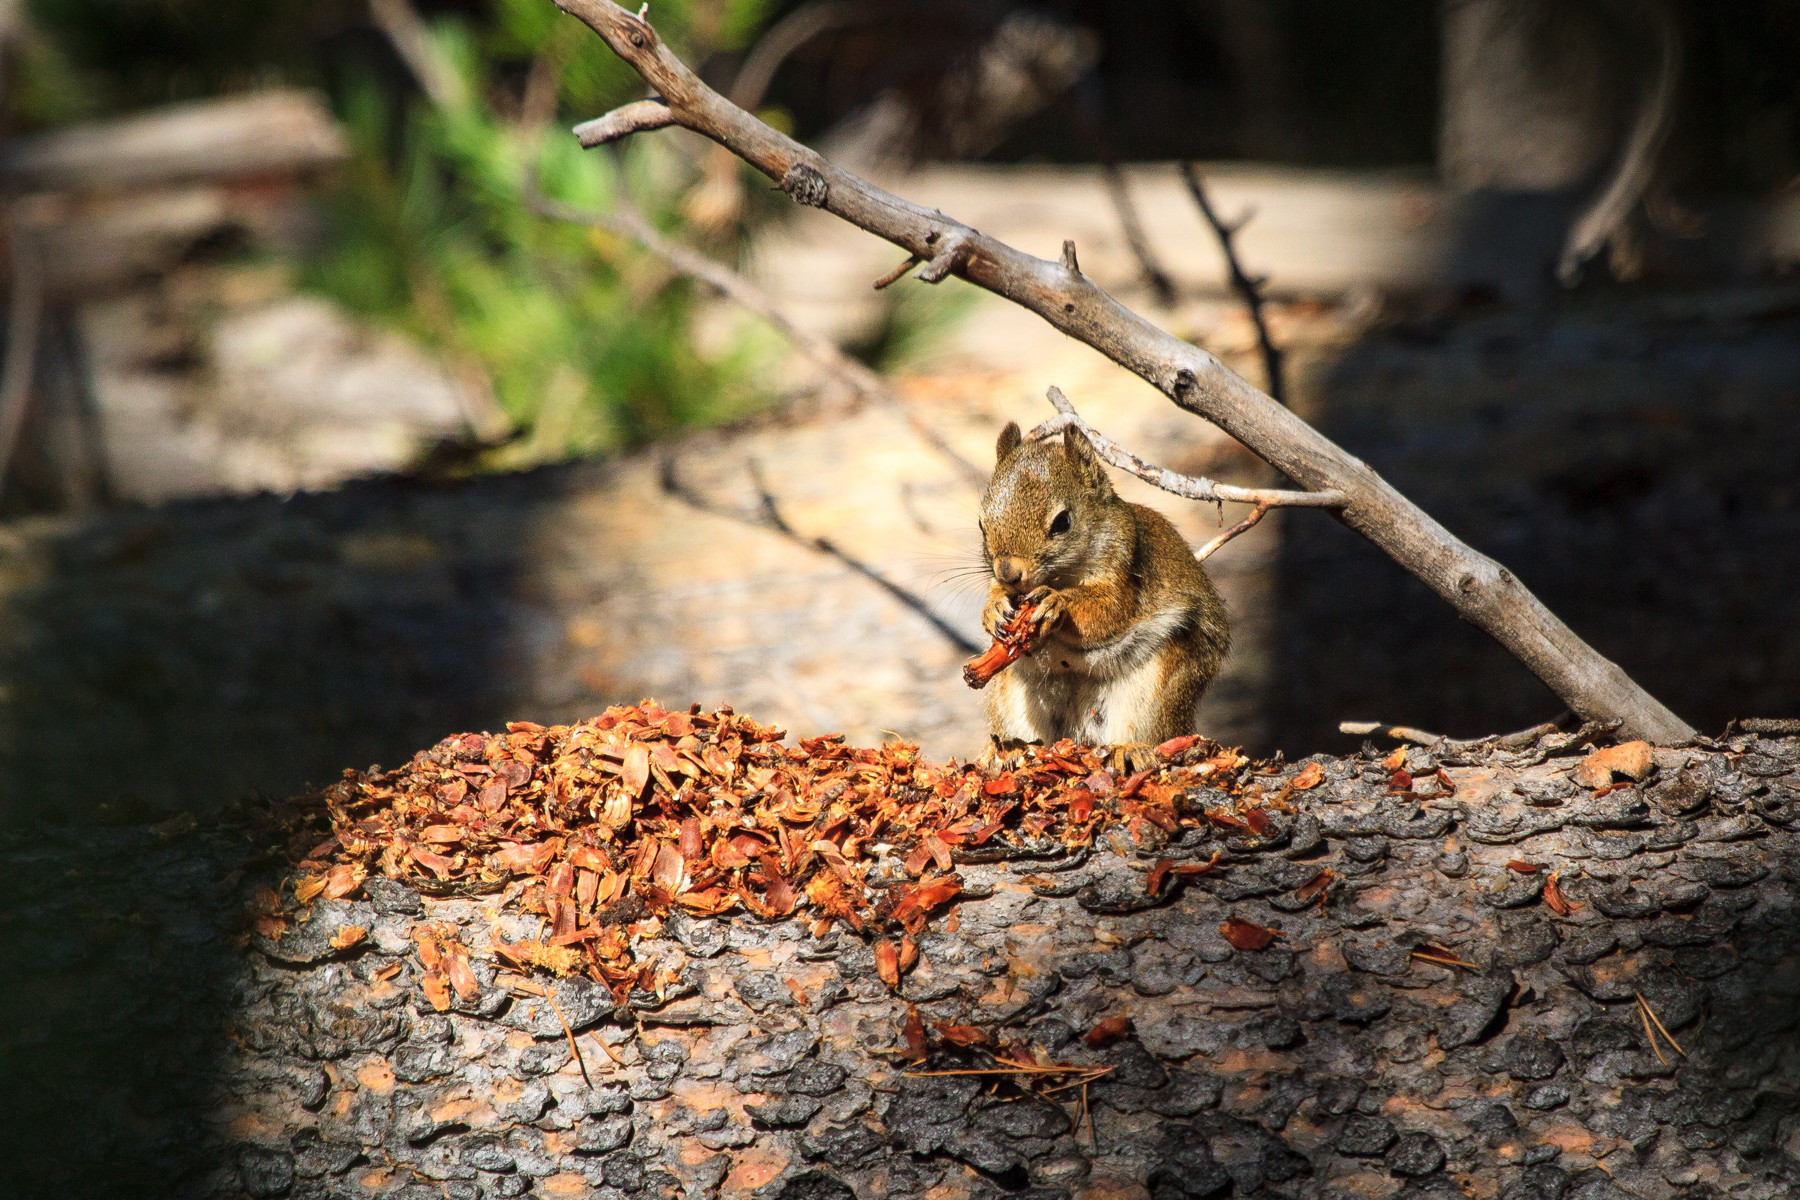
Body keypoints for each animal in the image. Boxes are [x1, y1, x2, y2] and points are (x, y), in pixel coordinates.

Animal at [978, 421, 1230, 770]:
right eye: (981, 524)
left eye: (1062, 522)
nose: (1008, 574)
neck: (1060, 576)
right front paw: (994, 607)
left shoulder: (1124, 567)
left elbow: (1107, 612)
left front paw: (1056, 603)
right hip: (1011, 691)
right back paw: (1005, 751)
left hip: (1156, 685)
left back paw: (1130, 749)